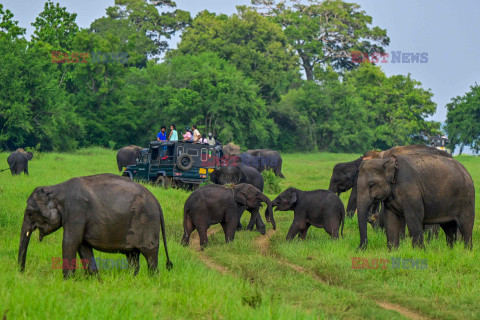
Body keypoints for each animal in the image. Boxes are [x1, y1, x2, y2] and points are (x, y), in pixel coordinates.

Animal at [18, 174, 172, 278]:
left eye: (30, 213)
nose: (21, 272)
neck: (56, 188)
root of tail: (156, 201)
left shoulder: (76, 210)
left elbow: (70, 242)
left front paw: (67, 280)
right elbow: (83, 246)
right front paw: (94, 279)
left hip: (148, 224)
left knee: (150, 255)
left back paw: (152, 278)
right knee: (132, 256)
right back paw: (132, 278)